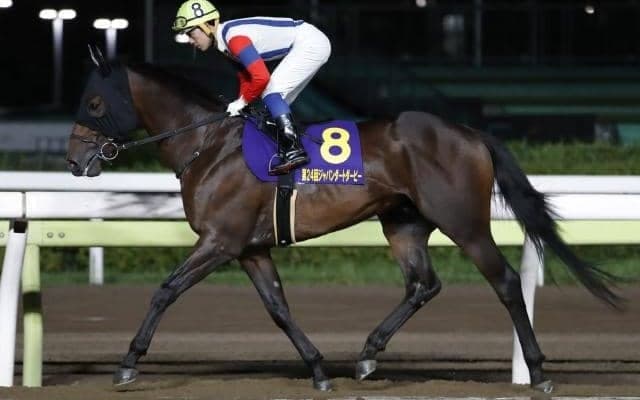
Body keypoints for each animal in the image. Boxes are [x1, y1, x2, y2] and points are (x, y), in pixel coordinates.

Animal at [66, 47, 621, 392]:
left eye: (93, 101)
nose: (74, 161)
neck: (207, 145)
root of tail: (470, 132)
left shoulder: (219, 241)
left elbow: (165, 291)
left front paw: (127, 365)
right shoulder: (250, 248)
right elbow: (278, 308)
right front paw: (318, 370)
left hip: (463, 221)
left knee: (504, 281)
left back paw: (538, 371)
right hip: (403, 224)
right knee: (423, 283)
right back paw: (368, 353)